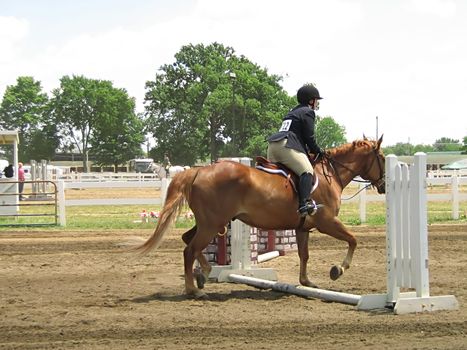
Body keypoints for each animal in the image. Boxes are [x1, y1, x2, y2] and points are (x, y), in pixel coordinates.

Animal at [137, 137, 386, 298]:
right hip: (212, 224)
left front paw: (307, 283)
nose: (383, 186)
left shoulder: (303, 228)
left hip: (208, 223)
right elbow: (353, 239)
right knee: (190, 249)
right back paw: (193, 290)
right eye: (382, 158)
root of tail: (199, 170)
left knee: (188, 241)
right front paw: (338, 270)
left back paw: (203, 275)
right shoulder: (327, 222)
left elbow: (304, 255)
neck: (331, 174)